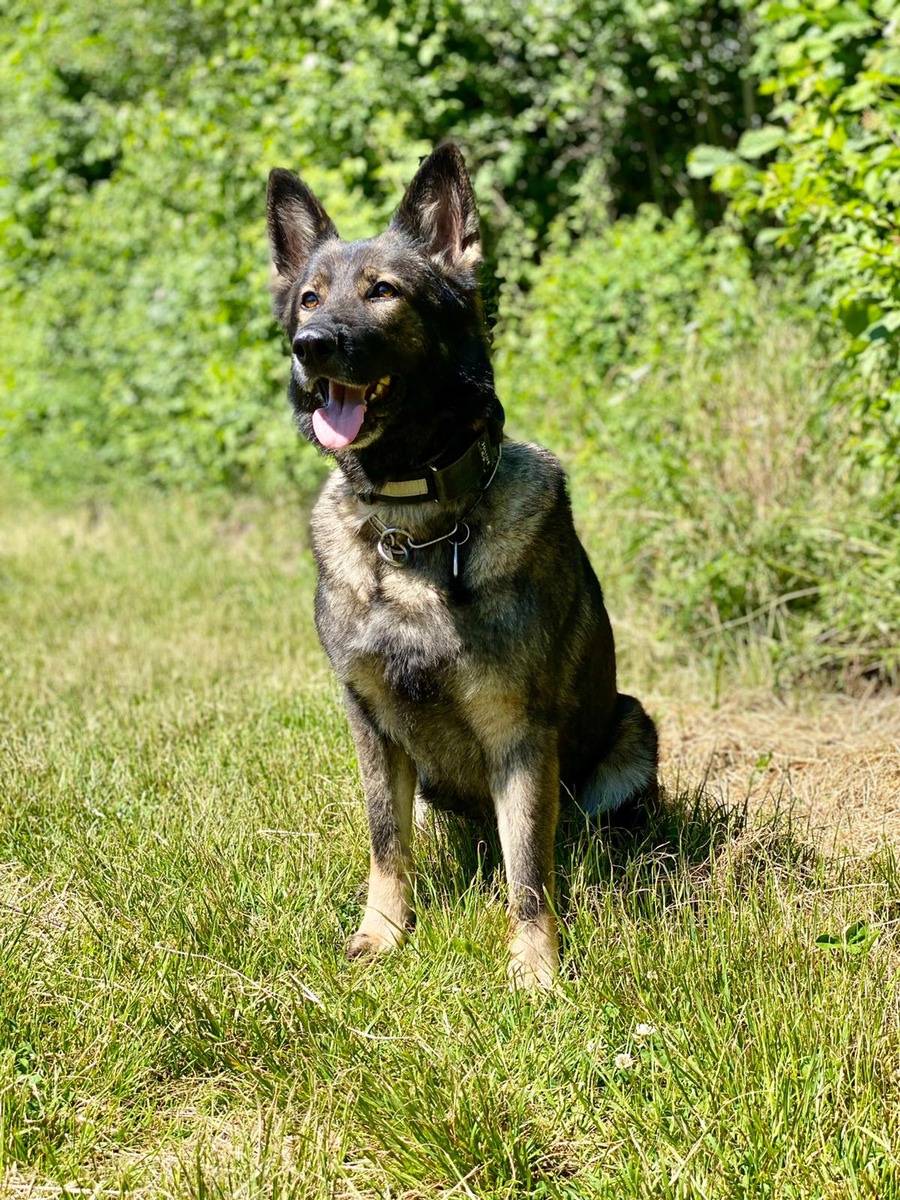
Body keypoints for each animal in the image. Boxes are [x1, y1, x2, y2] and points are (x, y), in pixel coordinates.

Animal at [264, 145, 657, 988]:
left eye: (383, 291)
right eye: (309, 297)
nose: (310, 345)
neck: (414, 528)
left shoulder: (519, 733)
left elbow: (530, 871)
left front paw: (535, 971)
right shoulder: (370, 722)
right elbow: (386, 842)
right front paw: (382, 933)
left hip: (632, 728)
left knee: (580, 834)